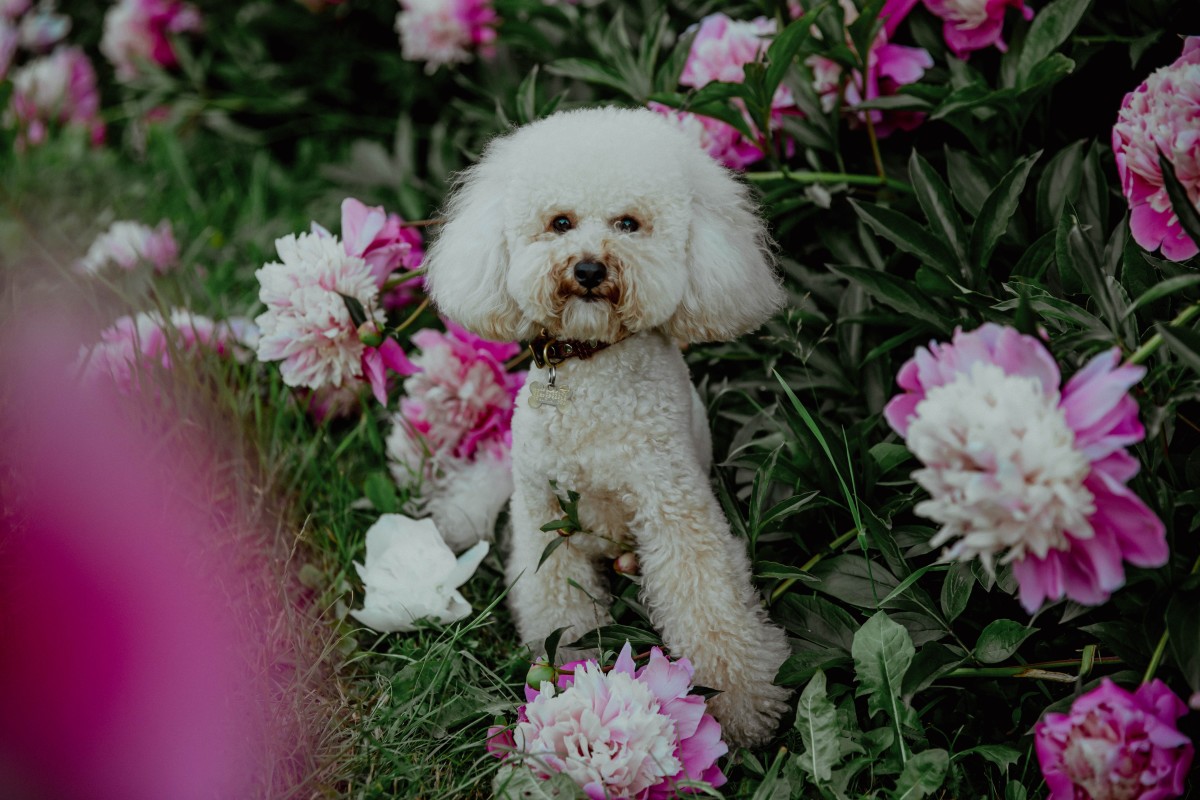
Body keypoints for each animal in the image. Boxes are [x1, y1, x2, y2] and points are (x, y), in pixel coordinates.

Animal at [427, 104, 792, 743]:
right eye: (560, 222)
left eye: (629, 224)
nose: (589, 268)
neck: (591, 364)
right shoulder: (545, 518)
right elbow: (558, 606)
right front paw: (571, 669)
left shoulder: (675, 508)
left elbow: (710, 606)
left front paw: (744, 702)